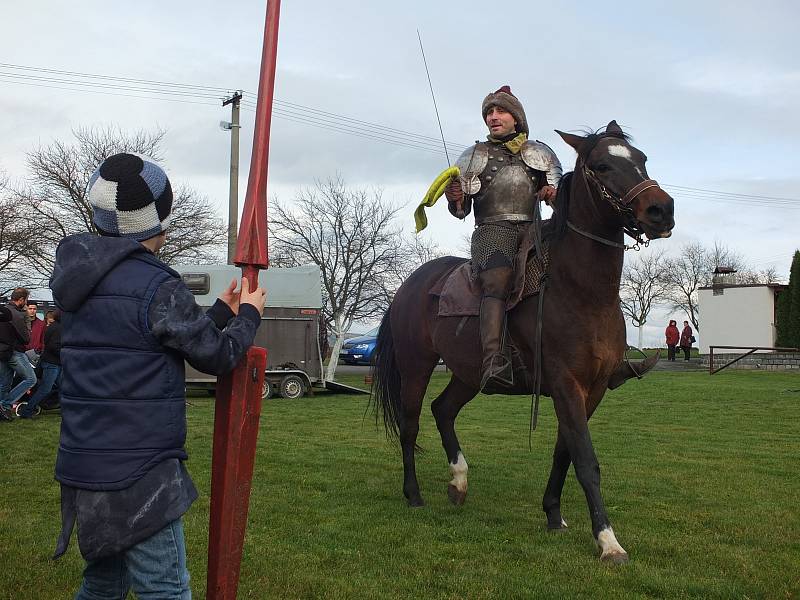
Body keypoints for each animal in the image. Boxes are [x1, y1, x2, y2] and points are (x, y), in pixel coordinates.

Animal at [370, 120, 676, 564]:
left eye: (642, 160)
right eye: (602, 166)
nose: (661, 210)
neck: (582, 291)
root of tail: (409, 285)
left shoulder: (593, 389)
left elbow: (564, 451)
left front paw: (553, 515)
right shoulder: (566, 385)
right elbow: (586, 460)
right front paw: (607, 541)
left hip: (469, 374)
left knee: (443, 410)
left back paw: (458, 482)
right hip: (416, 367)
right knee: (410, 426)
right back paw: (413, 495)